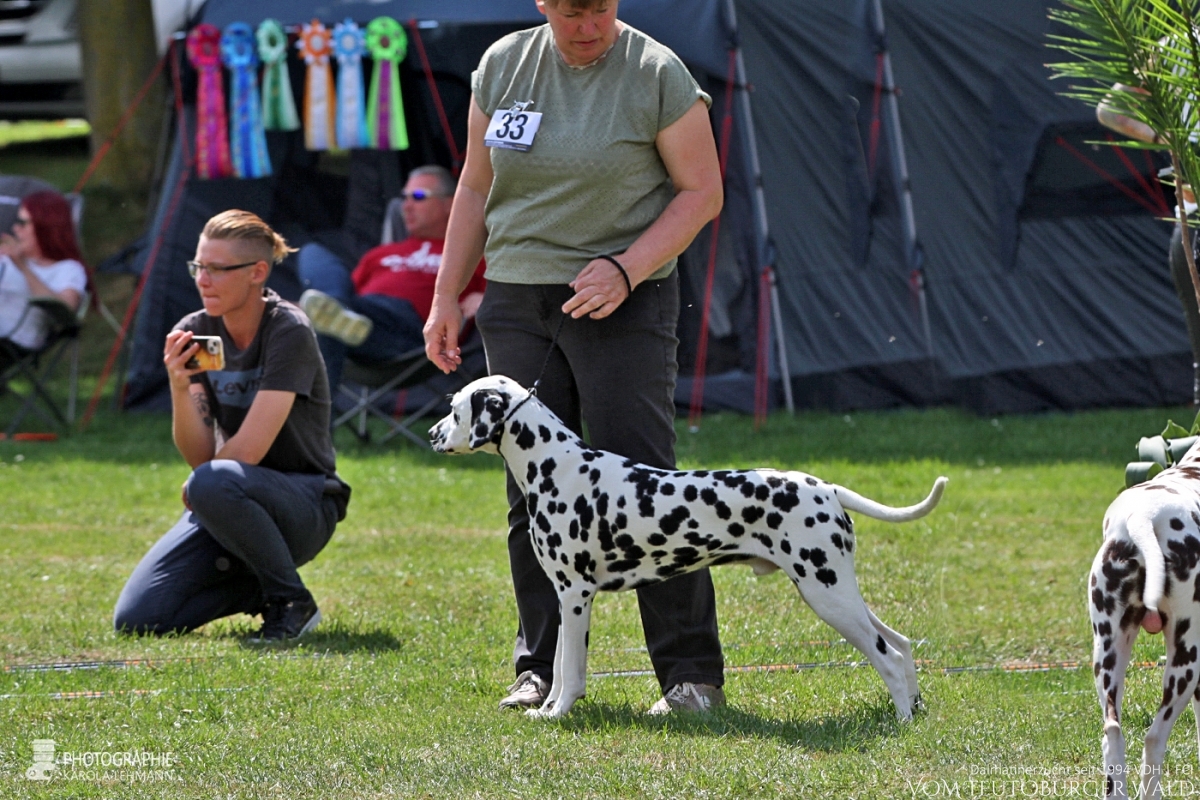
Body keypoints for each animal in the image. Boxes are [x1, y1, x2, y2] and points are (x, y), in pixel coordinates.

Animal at [432, 379, 945, 724]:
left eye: (455, 411)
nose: (435, 435)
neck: (558, 467)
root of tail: (826, 487)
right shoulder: (562, 599)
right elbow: (557, 668)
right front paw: (547, 709)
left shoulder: (576, 597)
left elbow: (571, 673)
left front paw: (557, 715)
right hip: (836, 592)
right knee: (901, 644)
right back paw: (915, 708)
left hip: (828, 595)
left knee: (888, 655)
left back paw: (902, 722)